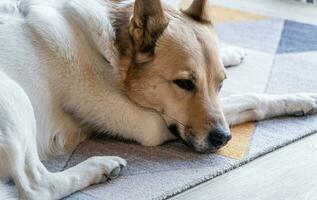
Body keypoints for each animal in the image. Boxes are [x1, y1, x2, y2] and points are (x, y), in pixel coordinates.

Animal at [0, 0, 314, 199]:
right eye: (184, 84)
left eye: (221, 83)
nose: (223, 138)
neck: (111, 51)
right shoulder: (153, 124)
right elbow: (246, 98)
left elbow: (244, 94)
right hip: (14, 97)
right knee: (37, 187)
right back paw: (99, 167)